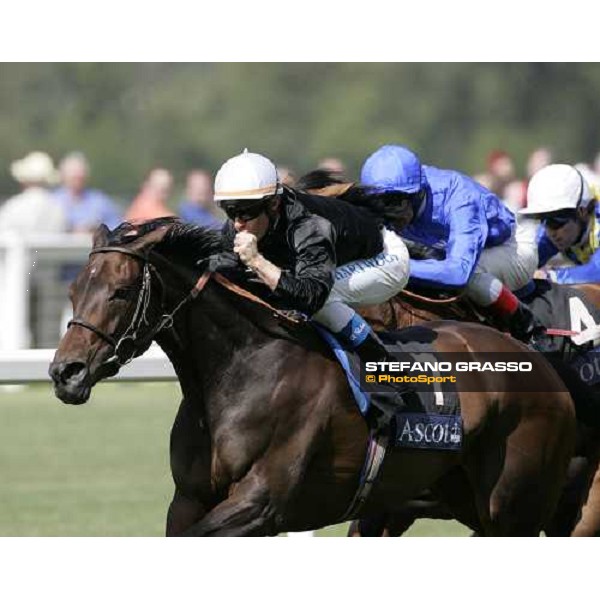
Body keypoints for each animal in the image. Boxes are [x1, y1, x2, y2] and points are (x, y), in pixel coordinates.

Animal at [49, 219, 576, 536]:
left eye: (119, 291)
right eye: (73, 290)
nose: (64, 372)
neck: (239, 370)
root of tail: (536, 357)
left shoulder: (262, 503)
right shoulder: (189, 499)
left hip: (514, 504)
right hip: (463, 495)